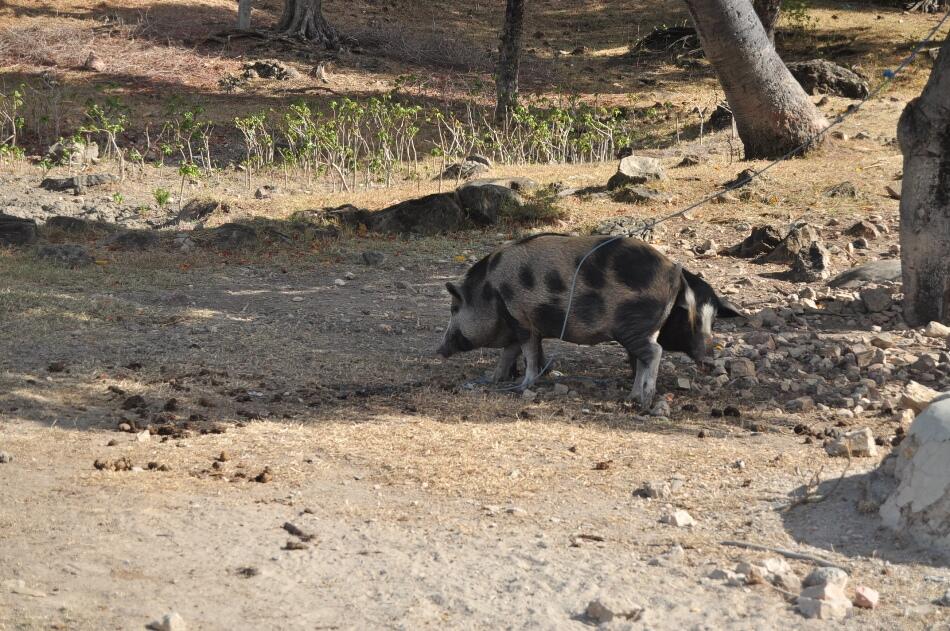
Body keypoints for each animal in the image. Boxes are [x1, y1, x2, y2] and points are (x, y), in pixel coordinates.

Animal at [438, 235, 744, 408]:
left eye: (454, 308)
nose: (438, 350)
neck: (490, 291)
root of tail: (674, 272)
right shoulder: (520, 324)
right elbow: (511, 353)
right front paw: (495, 379)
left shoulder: (522, 320)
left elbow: (528, 355)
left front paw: (522, 386)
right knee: (643, 357)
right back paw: (632, 398)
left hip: (633, 324)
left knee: (653, 353)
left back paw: (643, 400)